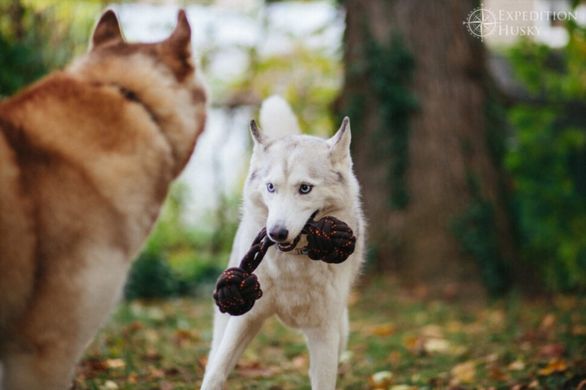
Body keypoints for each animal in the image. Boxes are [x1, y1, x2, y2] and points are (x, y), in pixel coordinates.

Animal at [202, 95, 364, 390]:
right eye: (271, 187)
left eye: (305, 188)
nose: (276, 233)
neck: (293, 264)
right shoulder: (245, 318)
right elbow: (216, 373)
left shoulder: (324, 333)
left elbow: (323, 382)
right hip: (225, 320)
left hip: (340, 331)